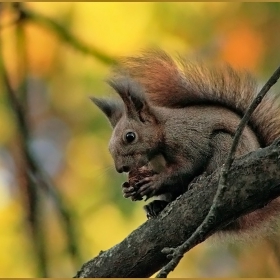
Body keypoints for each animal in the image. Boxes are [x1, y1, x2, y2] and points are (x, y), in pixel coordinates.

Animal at [91, 49, 280, 233]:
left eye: (130, 137)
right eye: (109, 147)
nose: (121, 168)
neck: (162, 132)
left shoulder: (185, 139)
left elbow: (186, 167)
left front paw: (154, 182)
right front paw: (130, 189)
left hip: (226, 144)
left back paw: (200, 179)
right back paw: (157, 206)